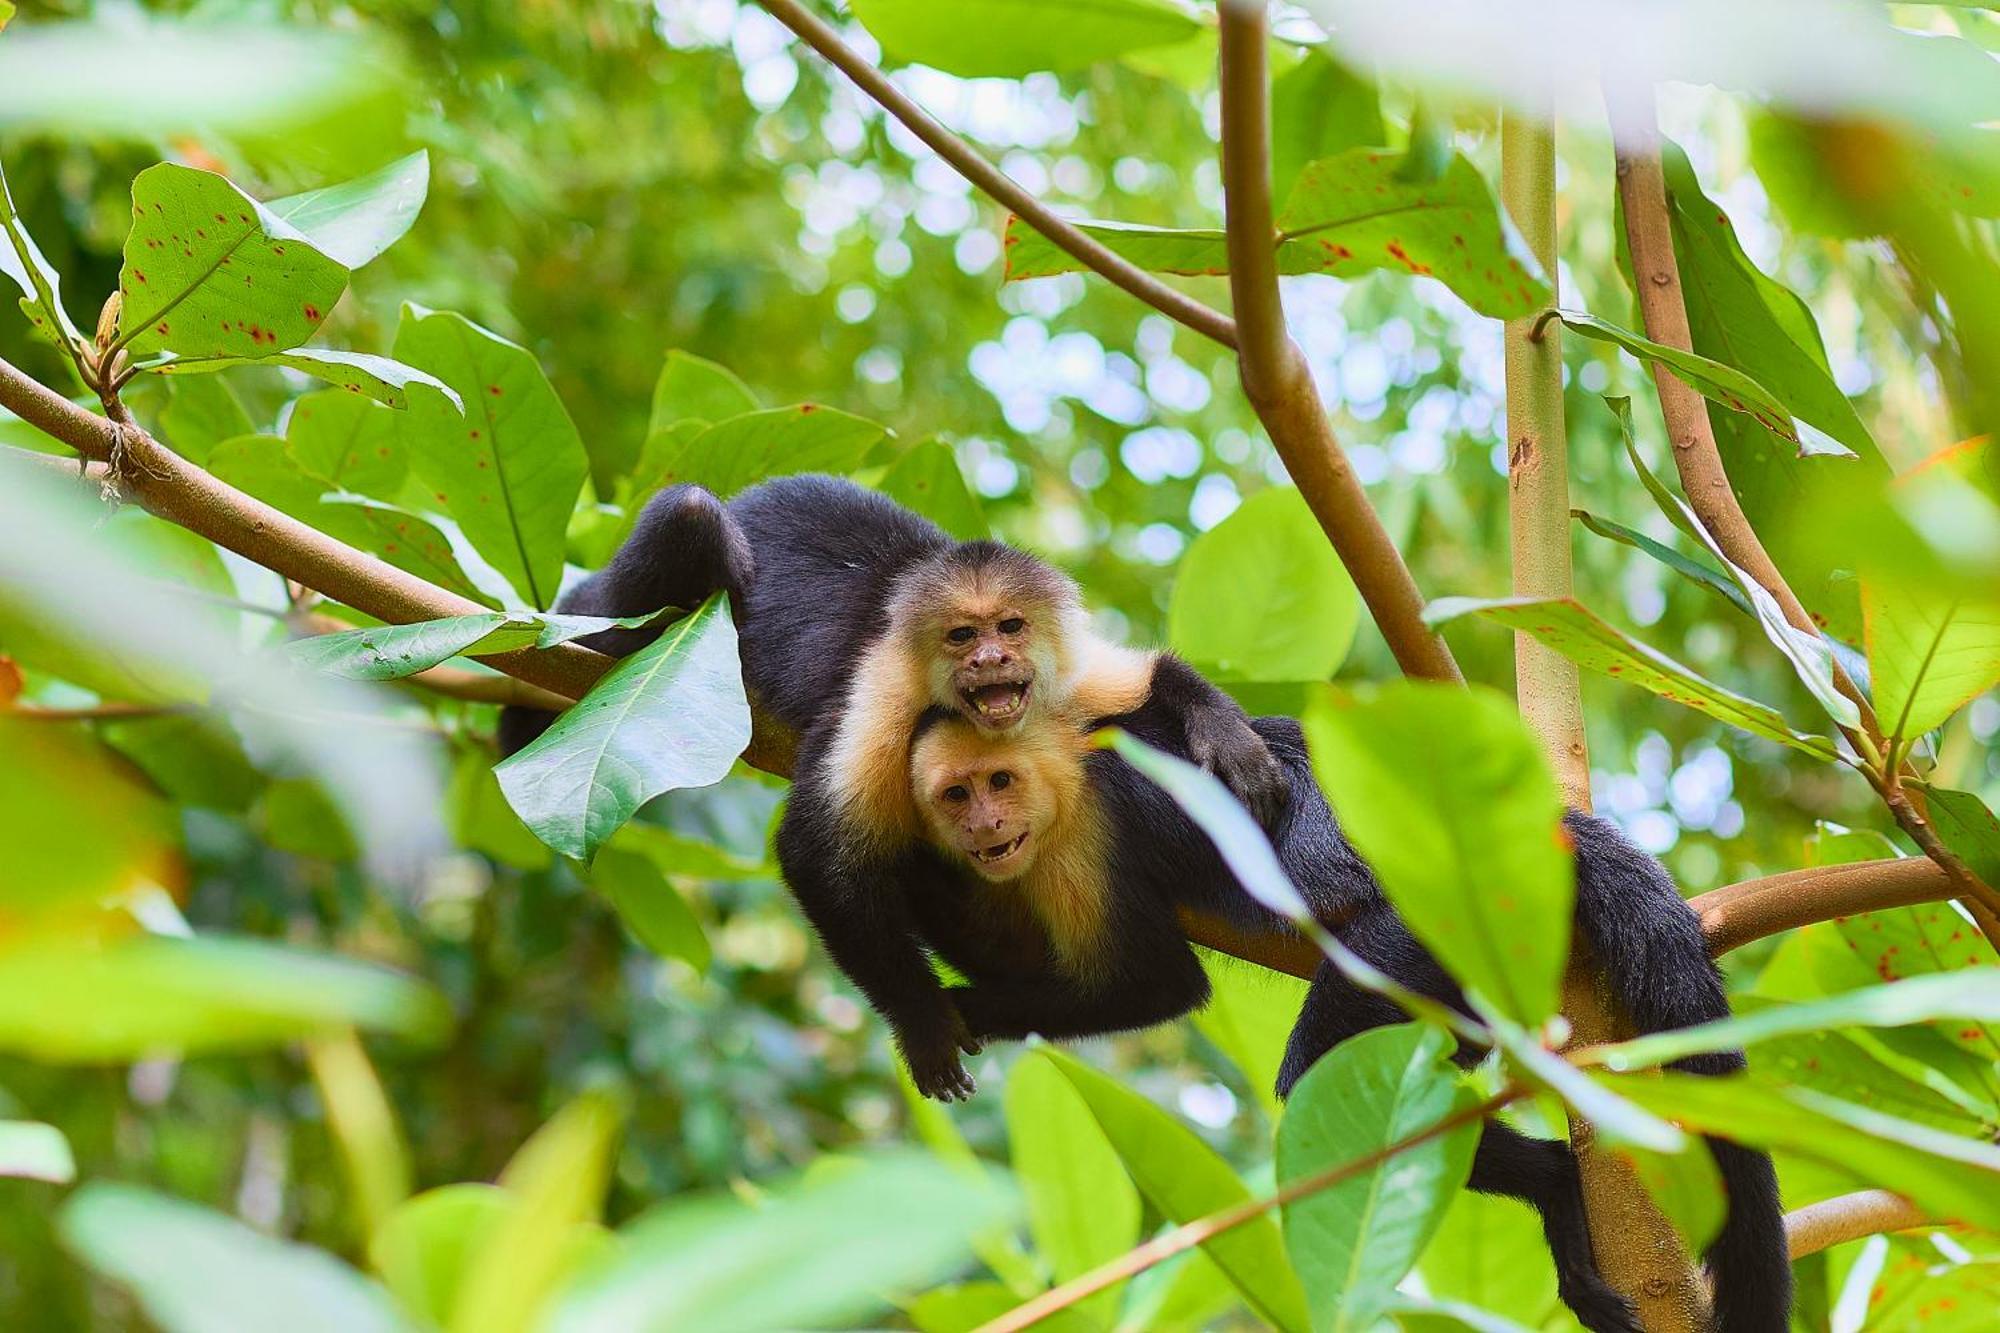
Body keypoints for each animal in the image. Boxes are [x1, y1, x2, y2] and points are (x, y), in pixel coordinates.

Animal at [498, 472, 1280, 1096]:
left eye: (1010, 627)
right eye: (963, 636)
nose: (990, 659)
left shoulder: (1063, 684)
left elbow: (1145, 676)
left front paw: (1226, 733)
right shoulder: (886, 688)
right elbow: (818, 853)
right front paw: (925, 1020)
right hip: (616, 612)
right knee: (686, 523)